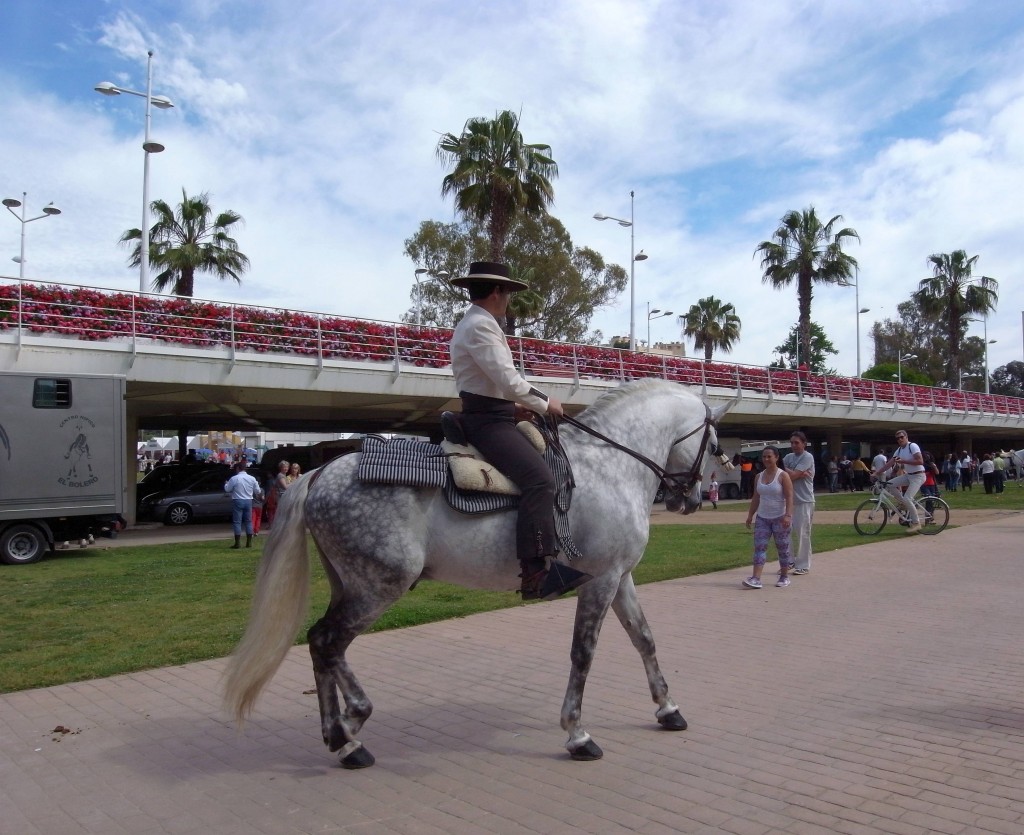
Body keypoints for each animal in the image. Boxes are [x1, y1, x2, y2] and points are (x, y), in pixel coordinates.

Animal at [227, 381, 733, 766]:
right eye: (714, 445)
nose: (689, 499)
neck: (611, 466)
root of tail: (319, 473)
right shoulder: (601, 580)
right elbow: (583, 654)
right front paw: (577, 734)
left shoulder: (619, 576)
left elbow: (644, 639)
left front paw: (667, 708)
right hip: (378, 587)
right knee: (326, 642)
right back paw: (347, 735)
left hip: (351, 585)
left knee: (325, 647)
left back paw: (347, 728)